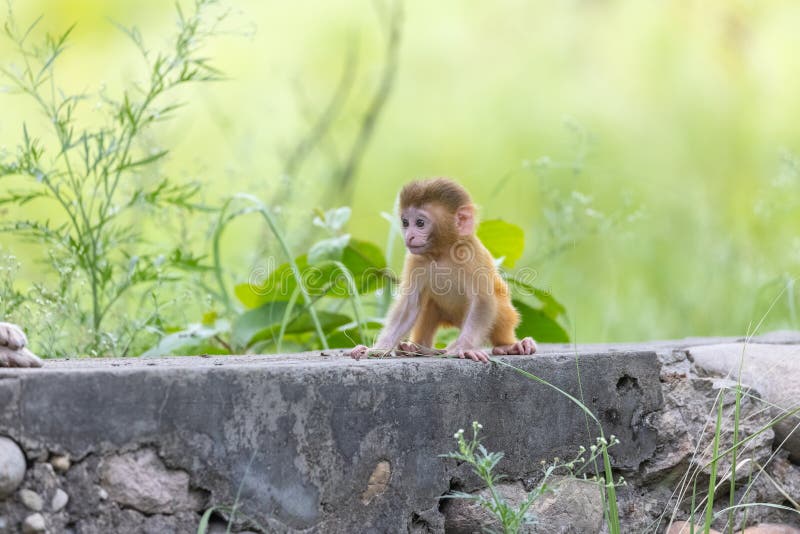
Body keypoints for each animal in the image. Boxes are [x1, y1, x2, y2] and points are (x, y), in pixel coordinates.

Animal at [351, 178, 536, 363]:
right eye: (405, 223)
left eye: (420, 223)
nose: (409, 236)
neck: (442, 253)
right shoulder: (414, 260)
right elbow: (410, 306)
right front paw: (377, 349)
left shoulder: (471, 255)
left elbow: (483, 301)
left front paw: (463, 347)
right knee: (428, 304)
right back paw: (417, 349)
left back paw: (508, 346)